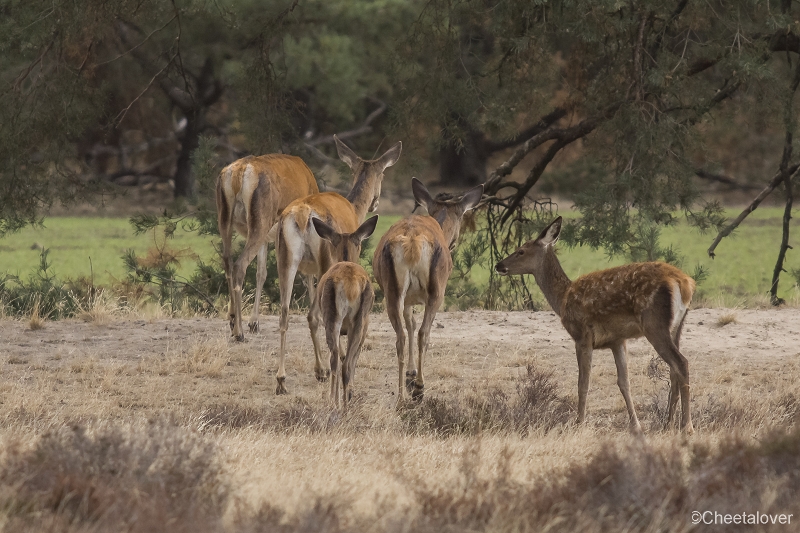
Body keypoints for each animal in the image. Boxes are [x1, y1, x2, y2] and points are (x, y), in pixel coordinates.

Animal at [219, 154, 322, 340]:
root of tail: (238, 173)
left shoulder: (267, 238)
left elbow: (261, 273)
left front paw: (254, 322)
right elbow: (306, 273)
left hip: (225, 218)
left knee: (227, 261)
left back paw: (232, 321)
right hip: (261, 220)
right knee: (240, 265)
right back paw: (239, 332)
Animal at [310, 214, 378, 406]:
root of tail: (350, 284)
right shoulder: (364, 328)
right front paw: (349, 393)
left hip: (334, 318)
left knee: (337, 360)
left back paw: (336, 402)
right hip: (357, 321)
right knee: (344, 363)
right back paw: (341, 404)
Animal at [374, 177, 482, 402]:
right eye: (461, 217)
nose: (454, 242)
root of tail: (412, 242)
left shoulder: (408, 299)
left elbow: (410, 324)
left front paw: (410, 372)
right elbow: (418, 327)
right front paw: (414, 378)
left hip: (392, 290)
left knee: (401, 335)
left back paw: (400, 395)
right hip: (437, 290)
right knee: (425, 332)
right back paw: (419, 388)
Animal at [494, 216, 692, 432]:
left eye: (521, 250)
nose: (498, 265)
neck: (562, 298)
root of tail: (684, 283)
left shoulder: (582, 335)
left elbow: (583, 383)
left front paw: (579, 423)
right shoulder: (618, 340)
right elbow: (624, 382)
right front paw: (636, 425)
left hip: (654, 324)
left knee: (681, 363)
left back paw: (687, 426)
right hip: (676, 327)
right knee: (673, 370)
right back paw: (668, 423)